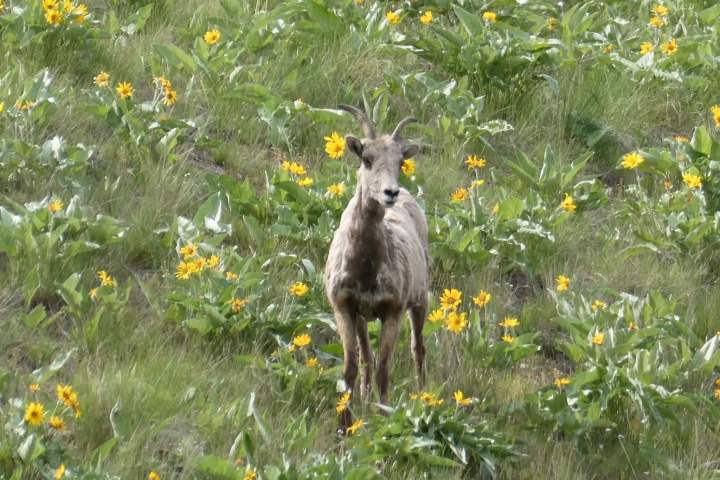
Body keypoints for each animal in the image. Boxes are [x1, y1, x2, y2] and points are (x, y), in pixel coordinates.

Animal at [324, 105, 429, 431]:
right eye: (366, 159)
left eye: (400, 161)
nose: (390, 193)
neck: (366, 266)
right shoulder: (345, 308)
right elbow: (350, 368)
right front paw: (345, 426)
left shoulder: (392, 313)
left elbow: (384, 369)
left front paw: (384, 418)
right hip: (362, 319)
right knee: (366, 360)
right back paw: (365, 398)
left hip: (420, 302)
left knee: (418, 349)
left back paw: (423, 396)